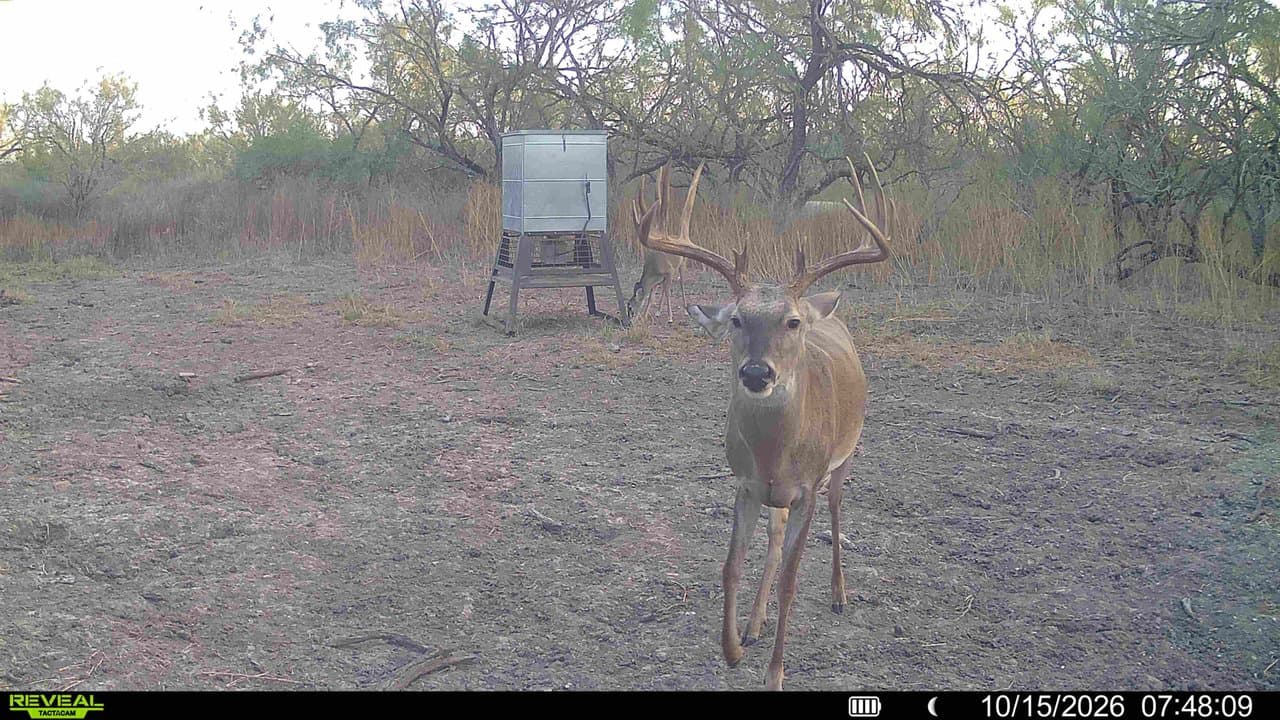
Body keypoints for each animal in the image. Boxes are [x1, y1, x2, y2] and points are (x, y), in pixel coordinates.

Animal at [626, 166, 694, 323]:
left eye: (631, 307)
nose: (630, 321)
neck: (653, 268)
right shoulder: (659, 278)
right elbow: (651, 296)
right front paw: (646, 314)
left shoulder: (668, 272)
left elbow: (668, 293)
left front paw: (670, 317)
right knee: (664, 289)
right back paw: (658, 311)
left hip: (682, 265)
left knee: (681, 284)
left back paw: (685, 308)